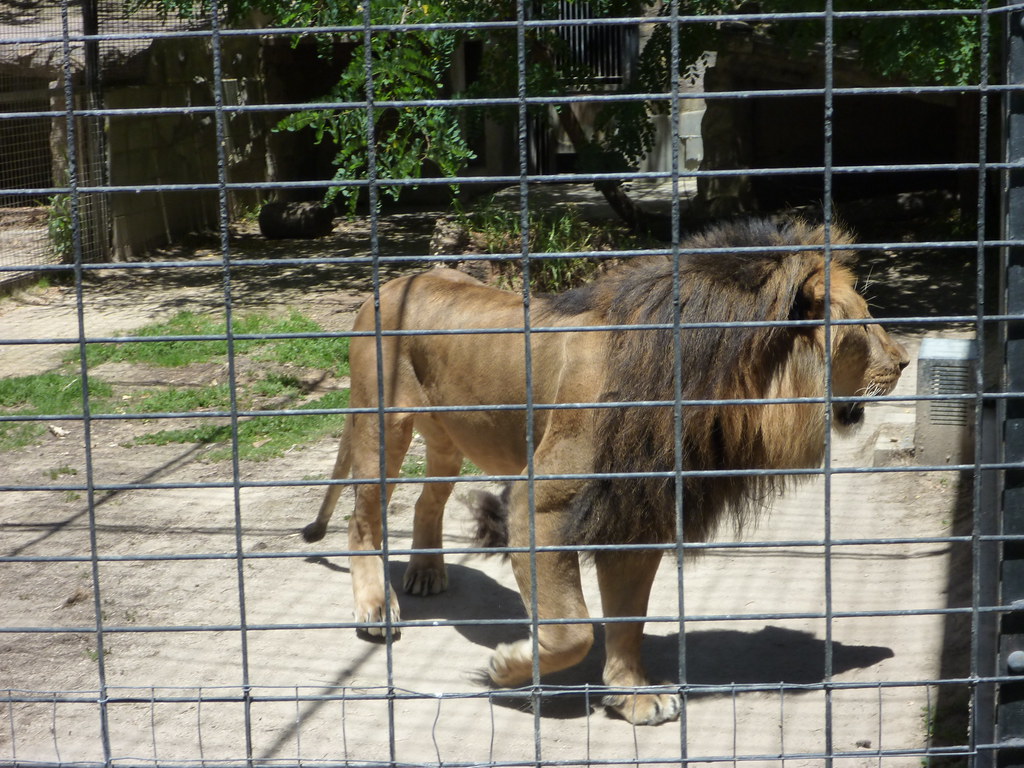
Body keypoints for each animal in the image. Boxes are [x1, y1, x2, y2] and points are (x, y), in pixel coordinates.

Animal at [302, 217, 909, 725]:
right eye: (861, 327)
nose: (903, 362)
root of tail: (389, 285)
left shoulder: (635, 508)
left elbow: (626, 619)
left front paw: (632, 696)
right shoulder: (540, 505)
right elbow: (573, 628)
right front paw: (507, 666)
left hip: (452, 438)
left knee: (429, 500)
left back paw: (427, 571)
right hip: (382, 426)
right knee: (363, 518)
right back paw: (376, 608)